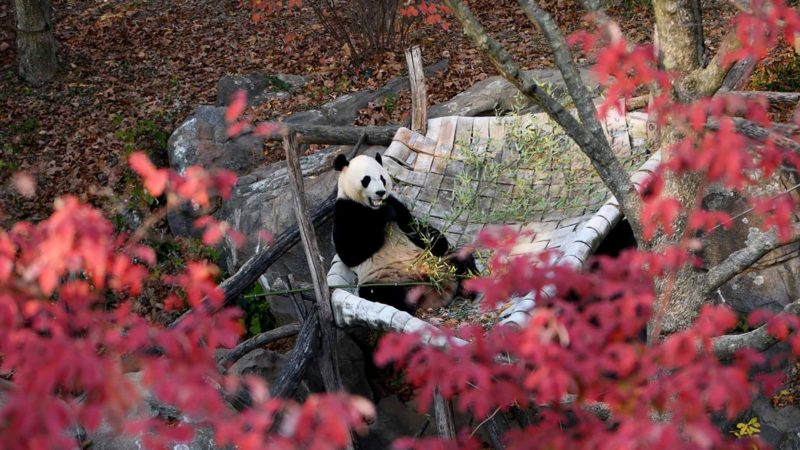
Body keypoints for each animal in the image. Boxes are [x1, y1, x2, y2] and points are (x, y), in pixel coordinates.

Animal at [332, 153, 476, 314]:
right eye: (366, 179)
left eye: (382, 178)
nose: (380, 192)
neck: (371, 208)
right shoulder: (345, 210)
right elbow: (351, 253)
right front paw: (386, 214)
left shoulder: (394, 202)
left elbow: (414, 227)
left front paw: (440, 241)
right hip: (385, 279)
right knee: (380, 293)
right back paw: (410, 303)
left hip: (440, 263)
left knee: (462, 258)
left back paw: (469, 286)